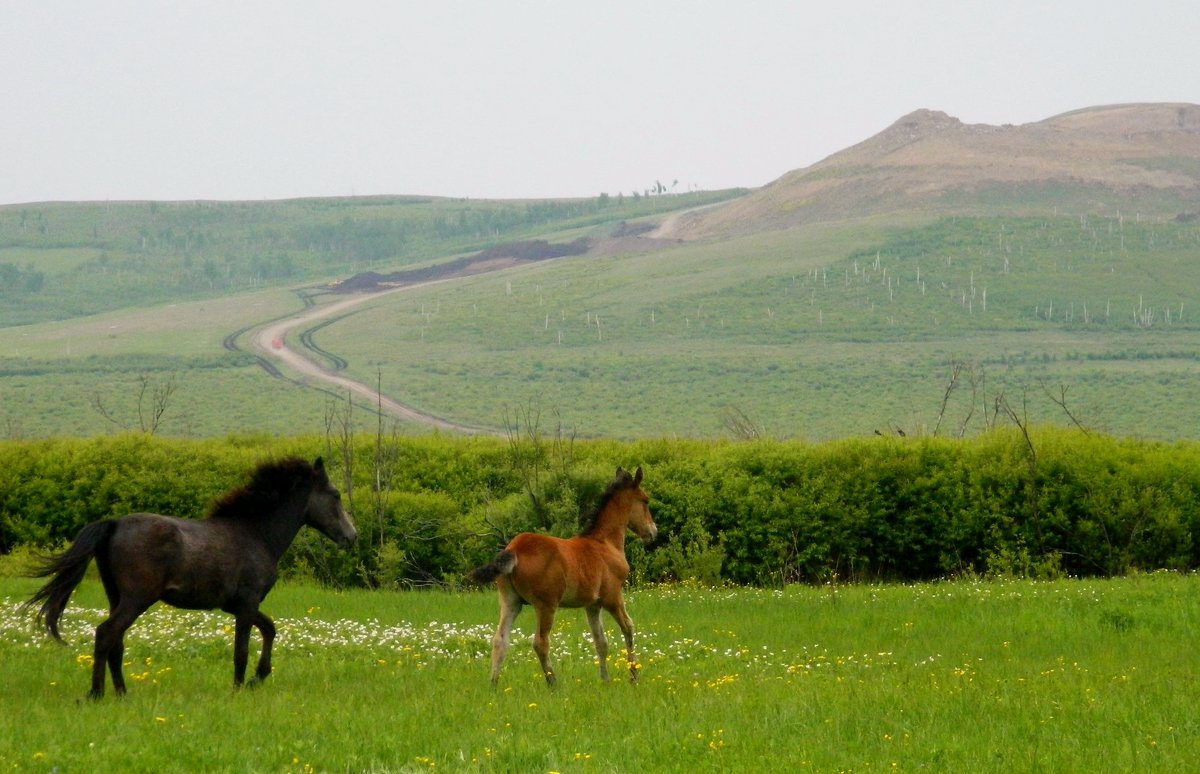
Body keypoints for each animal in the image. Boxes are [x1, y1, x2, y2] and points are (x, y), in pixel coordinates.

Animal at [23, 456, 355, 696]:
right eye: (336, 495)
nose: (352, 536)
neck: (256, 534)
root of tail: (114, 524)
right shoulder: (247, 603)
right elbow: (242, 649)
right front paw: (239, 688)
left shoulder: (236, 605)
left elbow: (270, 629)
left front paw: (257, 678)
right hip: (136, 598)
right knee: (106, 633)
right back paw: (97, 693)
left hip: (115, 595)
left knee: (115, 640)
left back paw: (122, 693)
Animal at [468, 468, 657, 686]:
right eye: (645, 500)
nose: (653, 532)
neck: (605, 543)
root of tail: (514, 549)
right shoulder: (612, 597)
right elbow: (628, 627)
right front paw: (634, 676)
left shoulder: (592, 605)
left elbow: (600, 642)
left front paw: (605, 681)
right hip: (546, 605)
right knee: (540, 642)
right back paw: (554, 684)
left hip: (510, 601)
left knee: (500, 640)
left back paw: (493, 684)